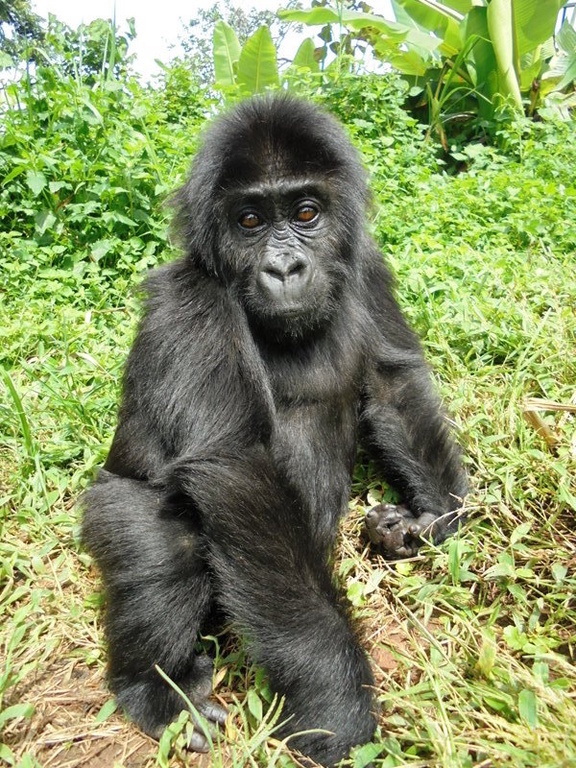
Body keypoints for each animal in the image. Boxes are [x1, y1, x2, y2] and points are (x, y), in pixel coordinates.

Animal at [82, 96, 468, 768]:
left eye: (306, 212)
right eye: (250, 220)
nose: (284, 265)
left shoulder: (365, 262)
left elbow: (392, 384)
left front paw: (427, 519)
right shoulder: (190, 302)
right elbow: (241, 476)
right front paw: (336, 706)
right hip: (107, 502)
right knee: (162, 546)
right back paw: (153, 693)